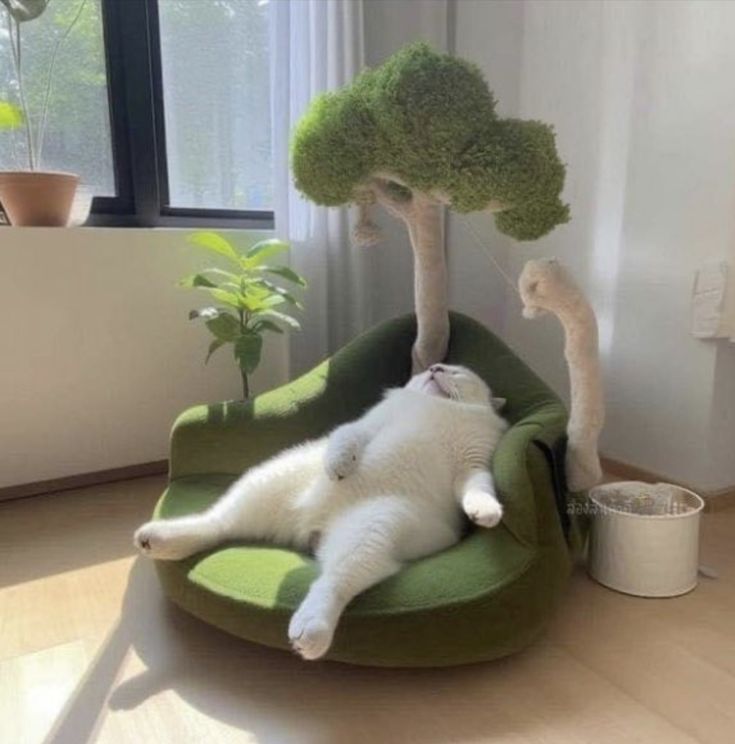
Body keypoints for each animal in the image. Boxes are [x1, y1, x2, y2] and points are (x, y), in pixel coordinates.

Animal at [135, 364, 508, 660]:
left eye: (455, 371)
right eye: (434, 366)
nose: (434, 368)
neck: (438, 406)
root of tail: (312, 527)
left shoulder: (473, 464)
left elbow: (479, 488)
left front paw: (486, 512)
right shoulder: (366, 425)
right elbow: (346, 438)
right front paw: (340, 466)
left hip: (373, 528)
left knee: (331, 582)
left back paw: (310, 630)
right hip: (269, 481)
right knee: (217, 524)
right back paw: (159, 538)